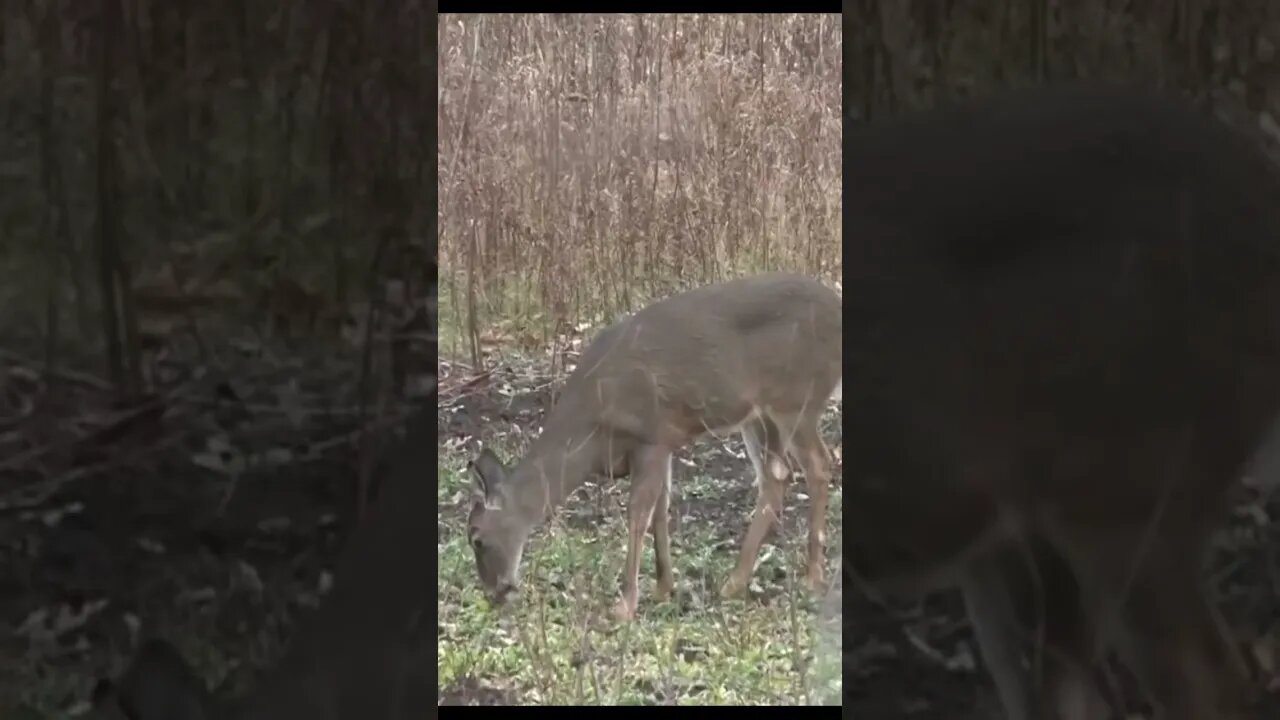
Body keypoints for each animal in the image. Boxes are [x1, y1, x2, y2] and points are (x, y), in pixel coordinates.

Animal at [465, 271, 844, 620]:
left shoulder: (650, 436)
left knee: (818, 464)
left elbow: (638, 515)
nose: (495, 594)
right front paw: (663, 587)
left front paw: (624, 605)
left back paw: (812, 576)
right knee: (776, 476)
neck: (592, 429)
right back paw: (734, 582)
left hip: (797, 399)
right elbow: (661, 509)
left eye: (476, 538)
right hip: (758, 415)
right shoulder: (664, 443)